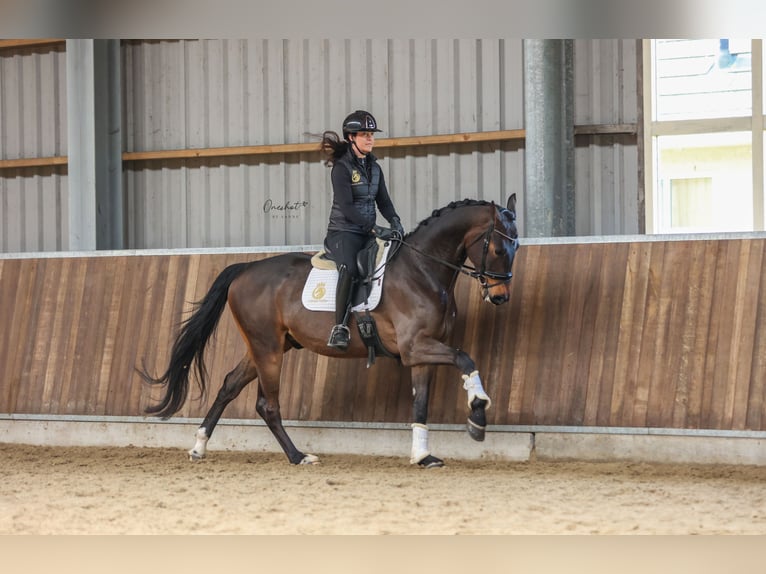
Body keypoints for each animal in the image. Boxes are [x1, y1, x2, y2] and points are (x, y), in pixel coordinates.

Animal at [143, 196, 520, 470]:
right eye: (498, 249)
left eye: (516, 249)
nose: (501, 297)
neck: (422, 270)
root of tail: (247, 268)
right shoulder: (415, 347)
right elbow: (465, 358)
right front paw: (478, 413)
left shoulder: (420, 353)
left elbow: (421, 404)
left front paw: (422, 456)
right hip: (268, 349)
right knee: (267, 404)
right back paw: (298, 457)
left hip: (266, 347)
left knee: (228, 386)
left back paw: (199, 446)